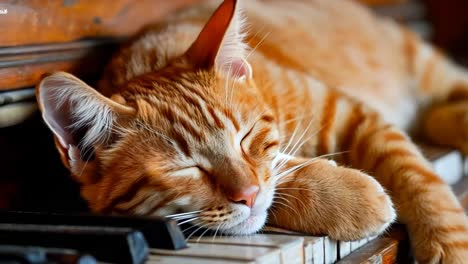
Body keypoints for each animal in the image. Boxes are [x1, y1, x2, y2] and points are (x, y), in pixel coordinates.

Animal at [35, 0, 468, 262]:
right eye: (185, 169)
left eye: (244, 139)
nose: (247, 195)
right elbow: (280, 177)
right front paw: (348, 197)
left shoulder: (348, 111)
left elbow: (415, 174)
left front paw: (449, 247)